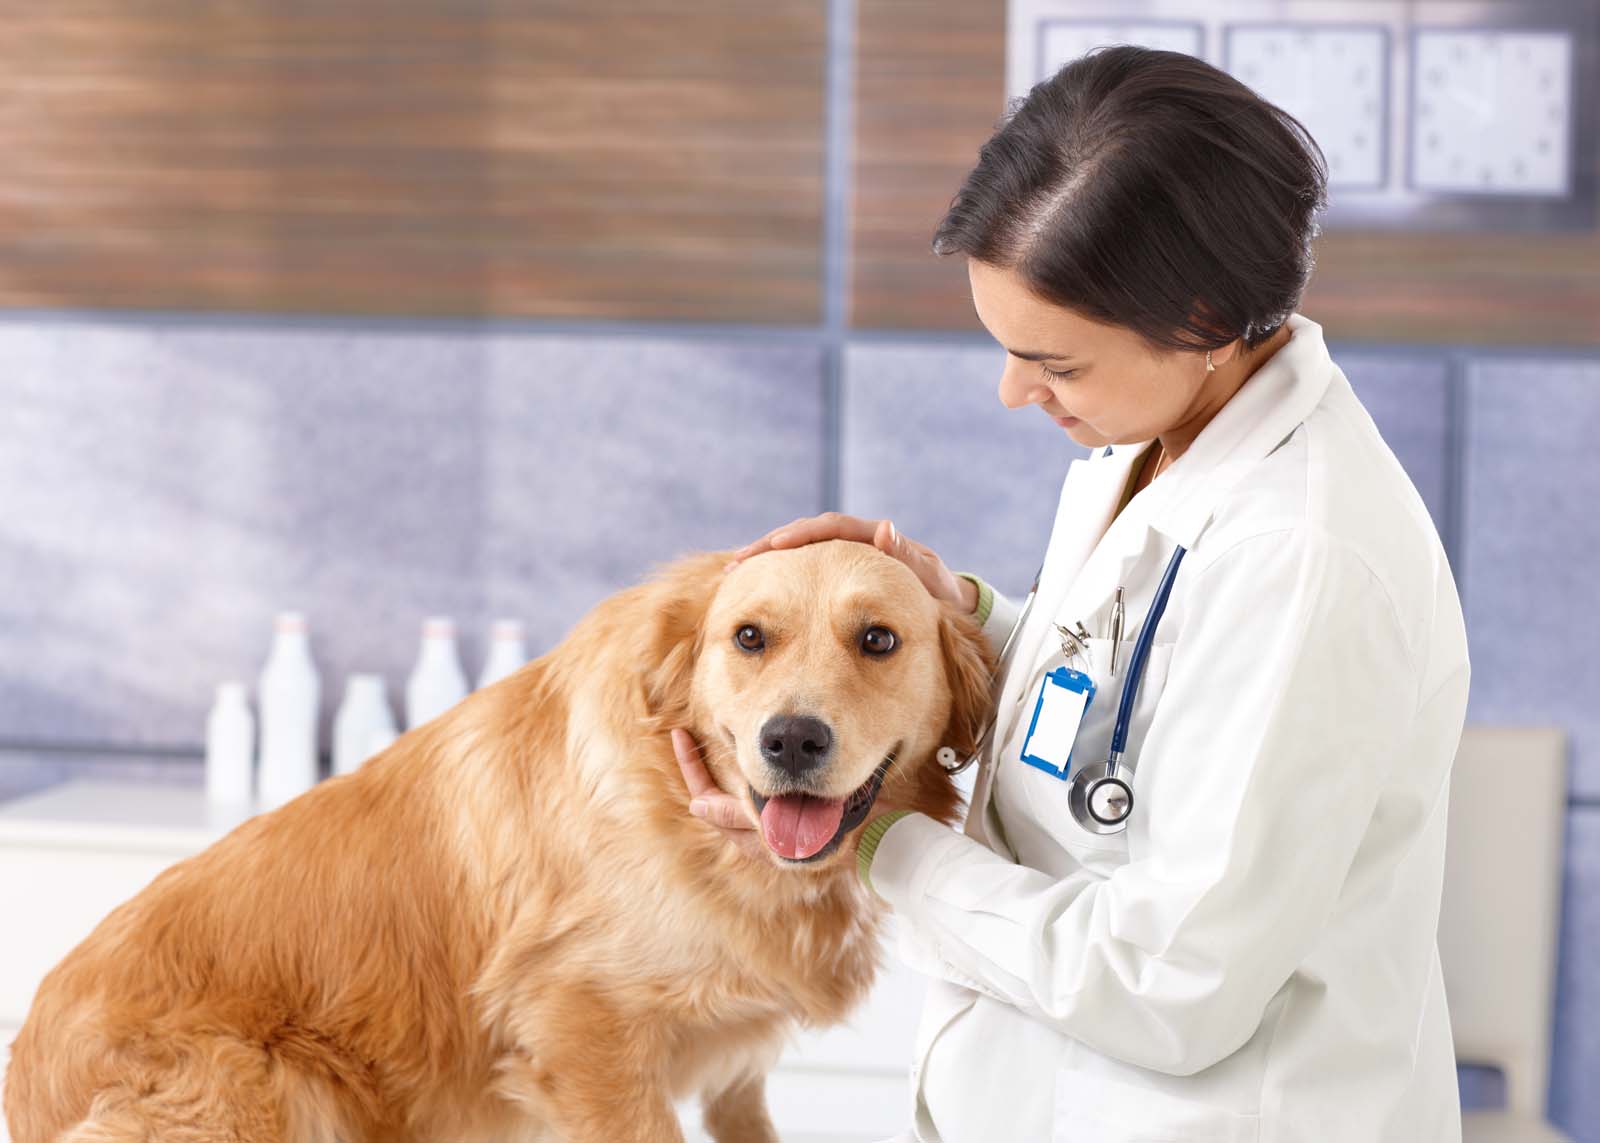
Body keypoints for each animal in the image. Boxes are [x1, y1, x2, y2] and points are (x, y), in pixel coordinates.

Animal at [6, 537, 992, 1139]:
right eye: (749, 637)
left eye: (878, 639)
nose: (791, 740)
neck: (694, 824)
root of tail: (24, 1069)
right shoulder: (581, 1032)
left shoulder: (735, 1061)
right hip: (270, 1091)